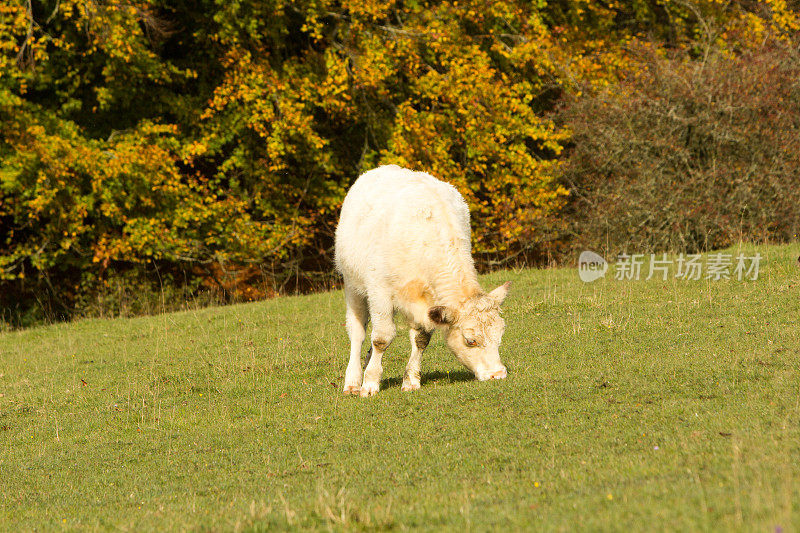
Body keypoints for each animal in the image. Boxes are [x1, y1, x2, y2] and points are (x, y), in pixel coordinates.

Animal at [332, 165, 510, 394]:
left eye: (500, 336)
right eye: (470, 341)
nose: (498, 374)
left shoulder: (429, 302)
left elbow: (421, 339)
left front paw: (410, 381)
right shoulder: (379, 292)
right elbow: (381, 338)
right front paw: (370, 383)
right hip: (353, 285)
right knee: (358, 332)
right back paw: (353, 381)